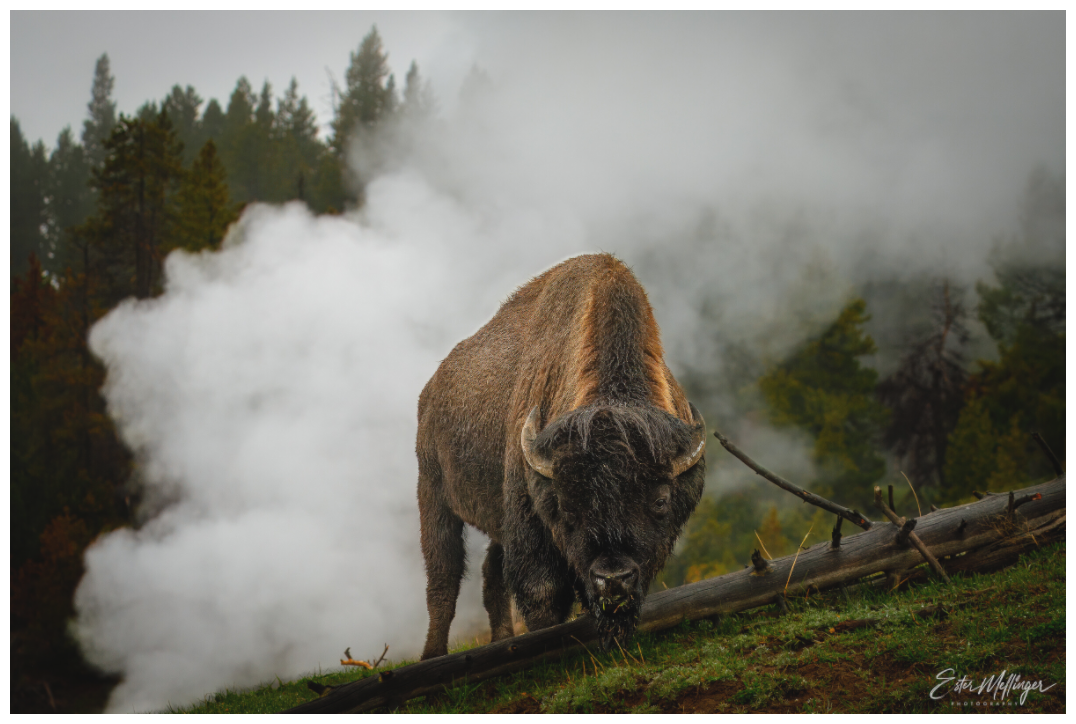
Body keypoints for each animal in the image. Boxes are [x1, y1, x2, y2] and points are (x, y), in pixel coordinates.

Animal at [416, 253, 705, 659]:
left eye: (661, 501)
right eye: (566, 504)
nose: (612, 580)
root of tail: (431, 390)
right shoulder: (528, 516)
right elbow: (544, 594)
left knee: (490, 574)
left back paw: (501, 639)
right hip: (433, 494)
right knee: (444, 578)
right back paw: (433, 655)